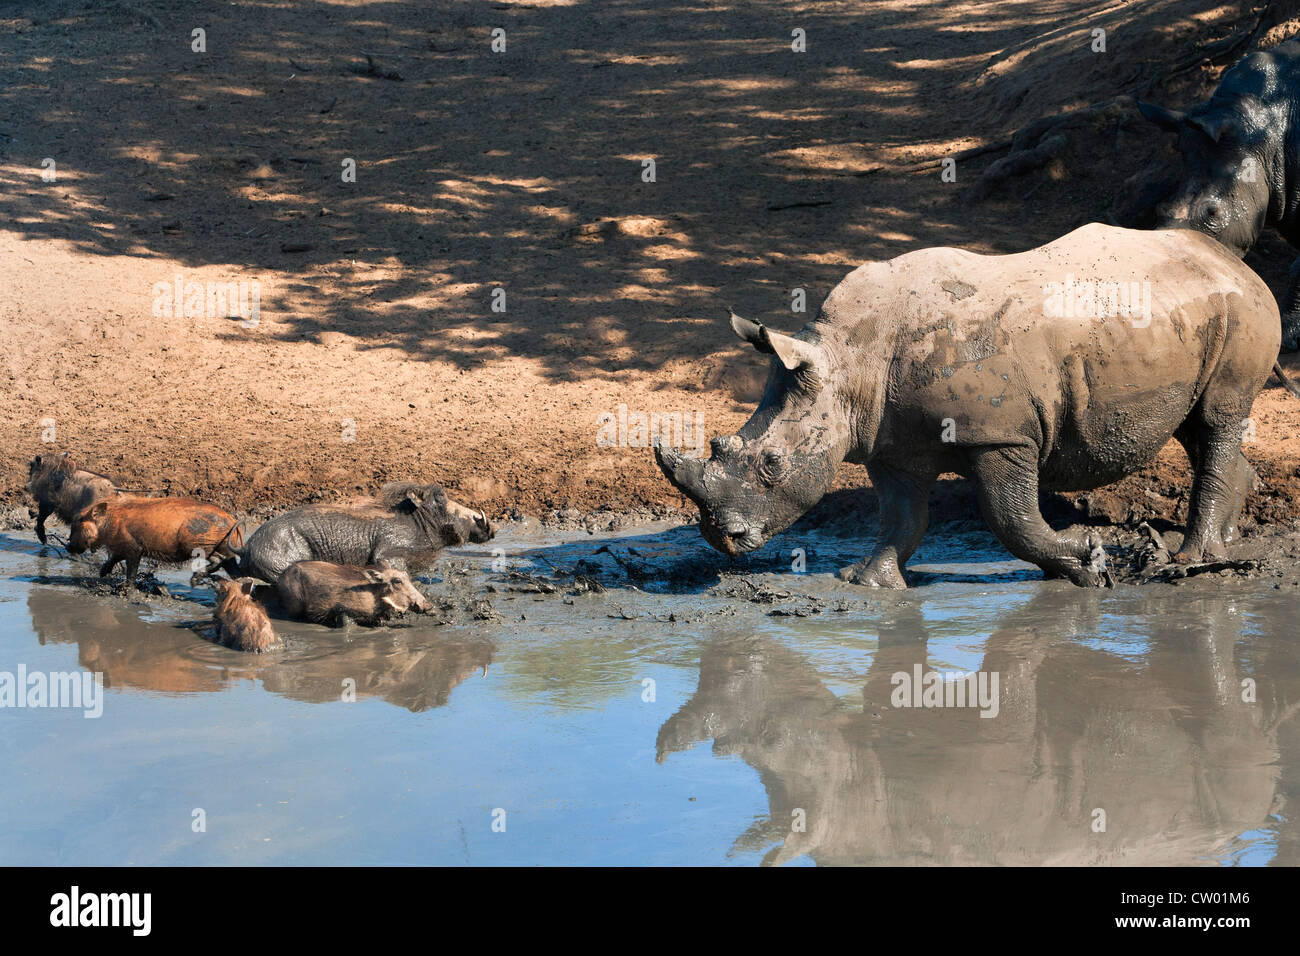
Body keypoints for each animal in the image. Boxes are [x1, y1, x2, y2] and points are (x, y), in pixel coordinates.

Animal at [239, 478, 491, 582]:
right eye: (439, 498)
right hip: (278, 568)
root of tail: (246, 546)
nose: (492, 528)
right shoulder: (388, 553)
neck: (417, 524)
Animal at [660, 222, 1279, 590]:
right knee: (1198, 427)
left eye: (772, 466)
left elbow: (1011, 520)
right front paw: (866, 582)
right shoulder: (890, 442)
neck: (849, 361)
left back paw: (1191, 560)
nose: (720, 538)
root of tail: (1239, 265)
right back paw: (1224, 544)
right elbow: (902, 518)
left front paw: (1087, 564)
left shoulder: (1001, 435)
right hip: (1189, 319)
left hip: (1241, 309)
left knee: (1217, 418)